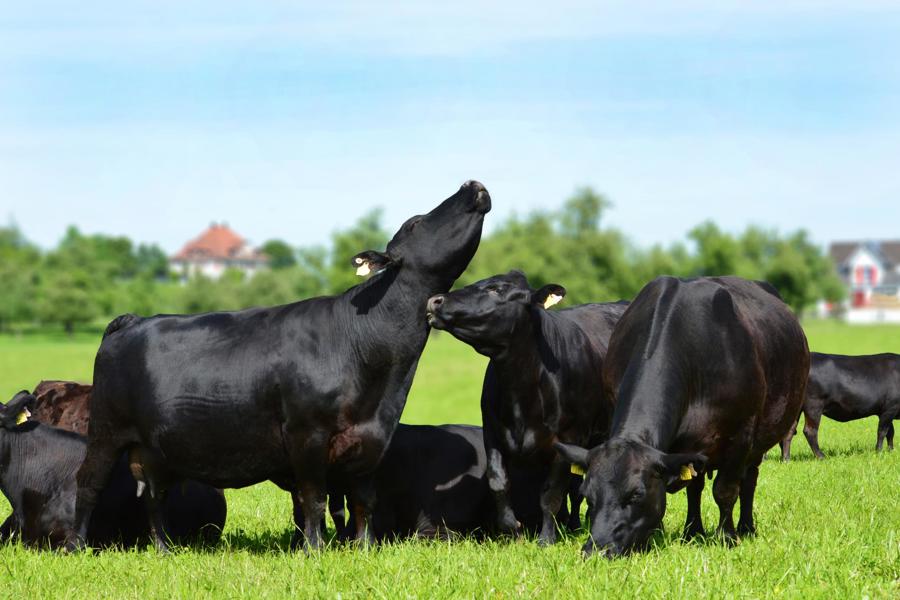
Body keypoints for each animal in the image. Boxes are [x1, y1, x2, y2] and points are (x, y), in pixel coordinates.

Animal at [68, 179, 492, 552]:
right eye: (416, 223)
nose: (471, 184)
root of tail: (133, 320)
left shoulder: (372, 440)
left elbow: (363, 502)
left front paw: (365, 548)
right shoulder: (306, 434)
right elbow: (314, 500)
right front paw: (314, 550)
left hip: (153, 448)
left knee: (154, 496)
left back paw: (163, 548)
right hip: (107, 430)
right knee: (88, 483)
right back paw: (77, 546)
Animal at [556, 276, 808, 556]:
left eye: (637, 495)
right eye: (589, 494)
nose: (597, 549)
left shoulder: (741, 435)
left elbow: (725, 490)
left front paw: (727, 537)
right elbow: (692, 488)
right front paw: (682, 533)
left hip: (759, 441)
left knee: (749, 480)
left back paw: (746, 527)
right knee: (697, 487)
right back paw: (694, 530)